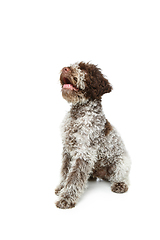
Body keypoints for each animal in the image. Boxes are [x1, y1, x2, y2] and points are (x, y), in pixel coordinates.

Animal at [55, 62, 131, 208]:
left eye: (84, 70)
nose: (65, 69)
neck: (78, 114)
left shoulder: (84, 151)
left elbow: (74, 178)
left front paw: (66, 198)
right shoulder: (67, 150)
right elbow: (66, 171)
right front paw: (62, 187)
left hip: (121, 162)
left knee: (121, 175)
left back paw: (120, 184)